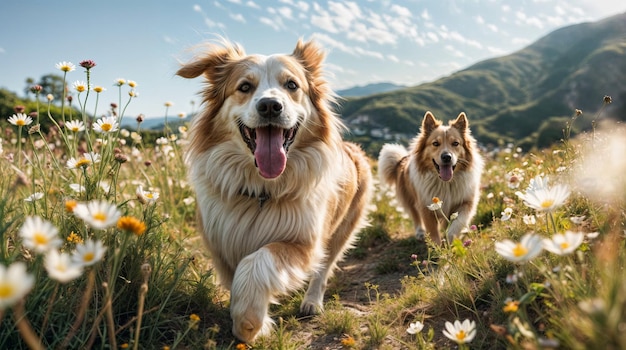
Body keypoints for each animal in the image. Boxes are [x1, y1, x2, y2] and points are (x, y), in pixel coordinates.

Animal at [176, 40, 370, 342]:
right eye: (245, 87)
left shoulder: (303, 242)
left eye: (292, 85)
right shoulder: (221, 242)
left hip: (342, 229)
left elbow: (256, 262)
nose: (270, 106)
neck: (262, 190)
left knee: (324, 267)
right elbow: (236, 279)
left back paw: (312, 302)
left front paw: (250, 322)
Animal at [376, 111, 482, 243]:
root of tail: (402, 160)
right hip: (409, 198)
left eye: (455, 143)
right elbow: (433, 233)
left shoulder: (466, 203)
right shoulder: (426, 208)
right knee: (415, 215)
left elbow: (456, 225)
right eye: (435, 143)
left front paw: (450, 241)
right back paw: (420, 232)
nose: (446, 157)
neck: (445, 183)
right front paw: (438, 247)